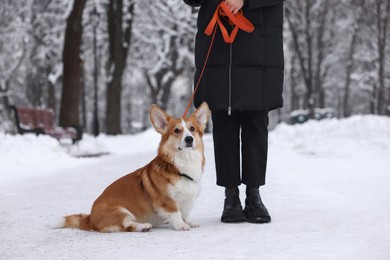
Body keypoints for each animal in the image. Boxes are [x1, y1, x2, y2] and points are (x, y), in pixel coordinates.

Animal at [60, 101, 210, 232]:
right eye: (177, 130)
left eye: (192, 129)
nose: (189, 139)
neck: (183, 163)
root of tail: (90, 218)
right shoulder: (167, 201)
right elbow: (176, 213)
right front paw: (181, 225)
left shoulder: (188, 200)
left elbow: (186, 213)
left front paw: (189, 221)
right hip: (121, 211)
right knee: (127, 226)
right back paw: (143, 226)